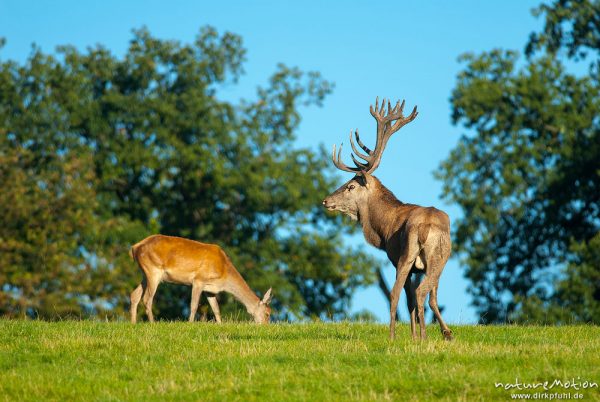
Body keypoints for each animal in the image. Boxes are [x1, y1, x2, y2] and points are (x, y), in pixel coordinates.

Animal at [131, 236, 274, 324]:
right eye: (267, 313)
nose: (265, 326)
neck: (224, 273)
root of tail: (134, 247)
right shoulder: (198, 280)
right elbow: (194, 305)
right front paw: (190, 323)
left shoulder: (210, 289)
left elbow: (216, 308)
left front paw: (220, 324)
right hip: (153, 270)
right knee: (147, 298)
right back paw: (152, 323)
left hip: (145, 273)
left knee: (134, 295)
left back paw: (133, 323)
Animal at [324, 97, 450, 340]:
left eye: (350, 186)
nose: (326, 200)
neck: (382, 231)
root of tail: (425, 227)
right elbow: (421, 299)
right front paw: (420, 336)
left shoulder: (393, 255)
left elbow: (407, 299)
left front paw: (413, 337)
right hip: (437, 256)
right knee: (427, 294)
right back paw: (437, 333)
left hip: (408, 255)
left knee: (400, 294)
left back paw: (396, 336)